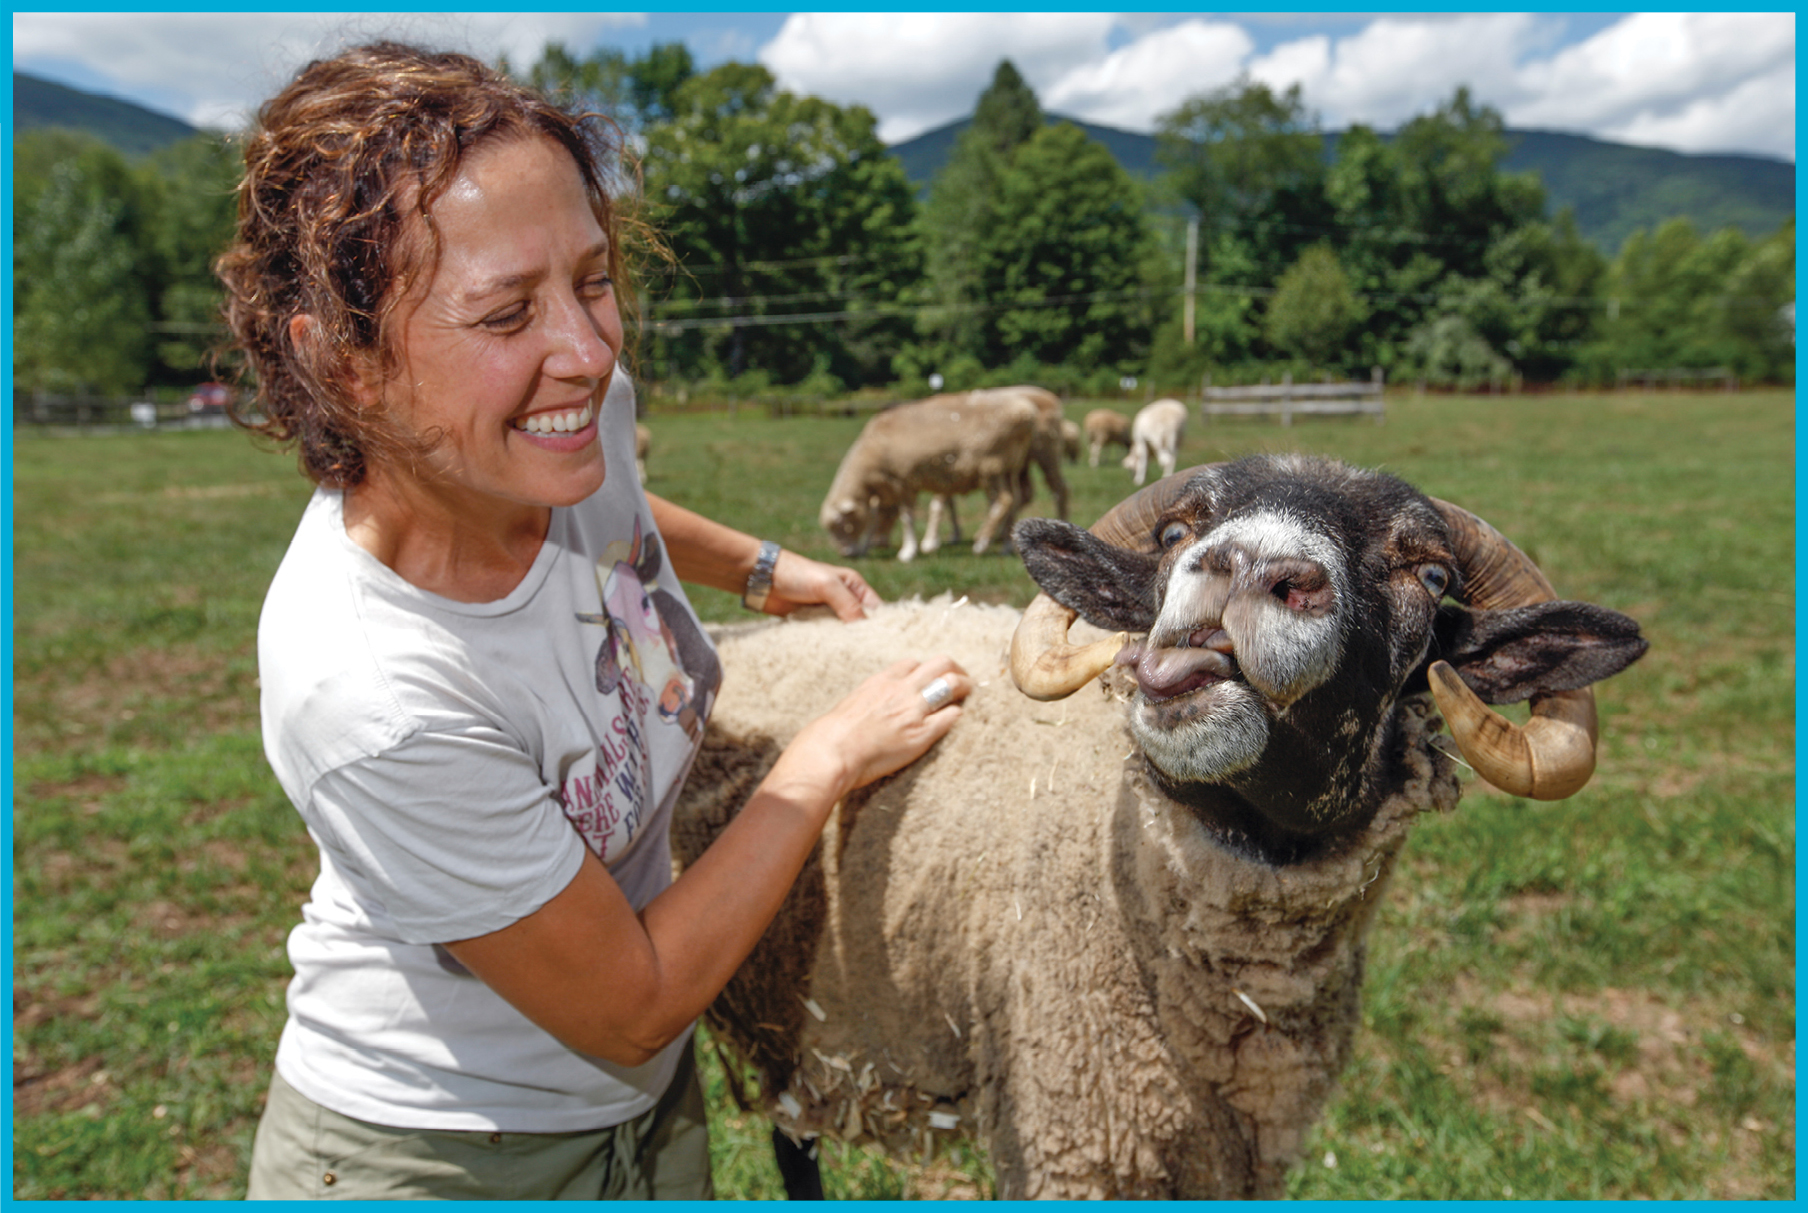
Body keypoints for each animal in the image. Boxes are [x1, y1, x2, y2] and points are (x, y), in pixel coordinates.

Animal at [817, 392, 1034, 564]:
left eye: (843, 524)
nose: (846, 555)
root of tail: (1025, 412)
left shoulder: (903, 480)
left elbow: (907, 518)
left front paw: (907, 551)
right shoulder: (884, 488)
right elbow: (873, 519)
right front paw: (865, 548)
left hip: (991, 465)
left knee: (1004, 501)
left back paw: (982, 542)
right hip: (1009, 468)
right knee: (1013, 501)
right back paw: (1006, 546)